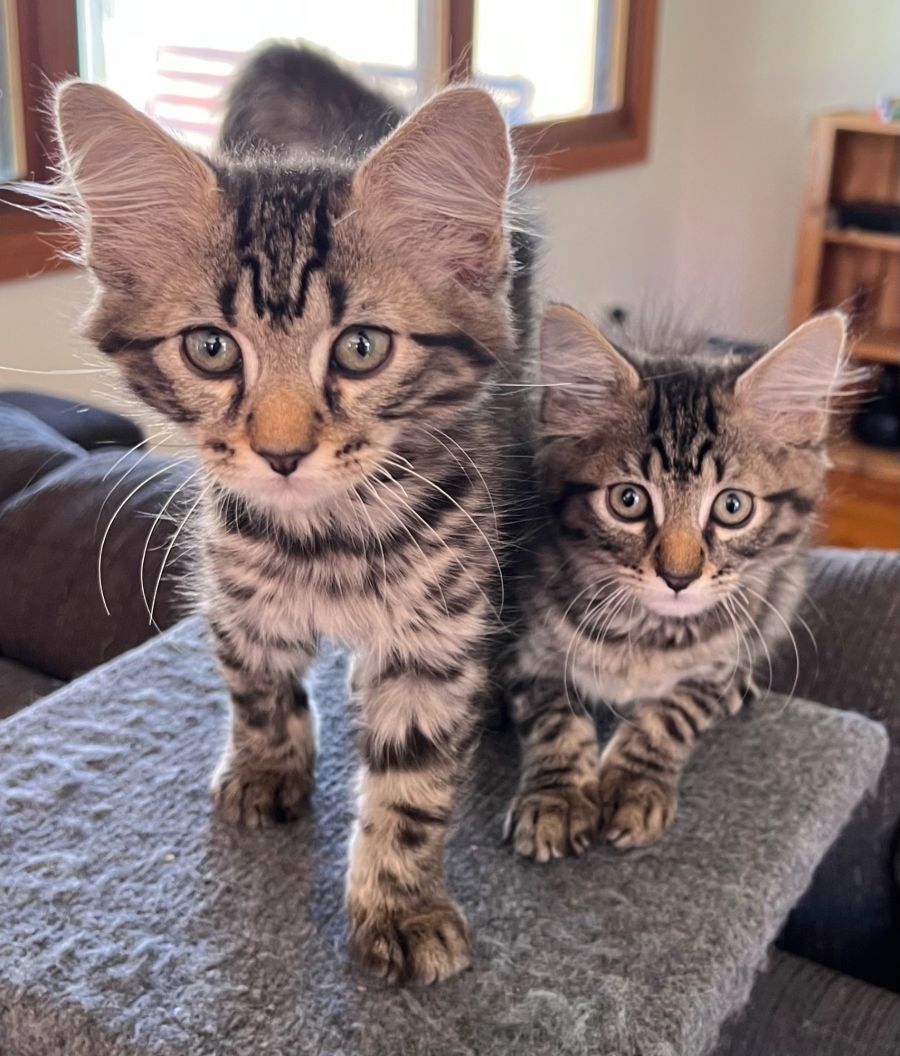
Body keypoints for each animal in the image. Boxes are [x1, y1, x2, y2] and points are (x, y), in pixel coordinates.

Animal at [47, 43, 535, 985]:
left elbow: (413, 784)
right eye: (210, 349)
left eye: (361, 348)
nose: (280, 453)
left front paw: (399, 904)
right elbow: (256, 687)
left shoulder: (438, 629)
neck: (328, 539)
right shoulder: (233, 585)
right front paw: (267, 768)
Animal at [505, 303, 849, 861]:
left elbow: (672, 713)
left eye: (732, 507)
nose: (678, 577)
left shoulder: (717, 655)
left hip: (784, 587)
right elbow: (555, 717)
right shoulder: (520, 646)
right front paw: (558, 797)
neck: (649, 633)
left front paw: (633, 784)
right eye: (627, 500)